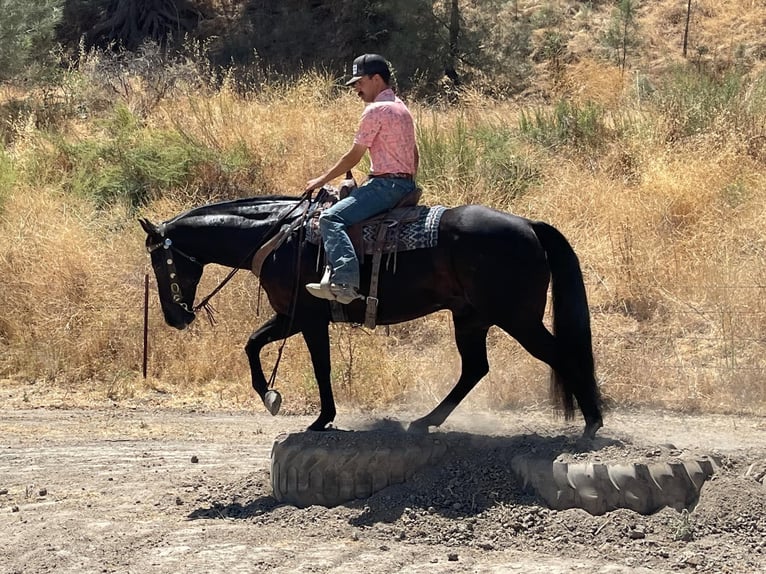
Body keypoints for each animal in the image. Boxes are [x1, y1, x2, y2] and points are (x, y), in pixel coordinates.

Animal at [139, 193, 603, 438]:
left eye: (161, 263)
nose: (174, 318)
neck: (277, 236)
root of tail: (529, 225)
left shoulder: (308, 319)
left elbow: (320, 367)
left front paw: (321, 419)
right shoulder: (289, 316)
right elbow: (252, 344)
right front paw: (270, 396)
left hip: (517, 319)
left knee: (559, 356)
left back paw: (592, 425)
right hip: (471, 318)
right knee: (475, 368)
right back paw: (425, 421)